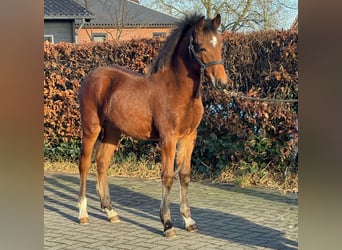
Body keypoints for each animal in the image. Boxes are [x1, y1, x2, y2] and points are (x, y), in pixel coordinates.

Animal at [77, 13, 227, 236]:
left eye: (221, 44)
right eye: (200, 47)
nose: (222, 83)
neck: (177, 90)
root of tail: (91, 76)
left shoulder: (189, 137)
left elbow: (184, 175)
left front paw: (189, 220)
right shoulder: (168, 138)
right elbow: (167, 176)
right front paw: (167, 224)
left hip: (113, 131)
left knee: (102, 162)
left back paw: (110, 212)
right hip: (91, 129)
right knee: (85, 164)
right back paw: (83, 213)